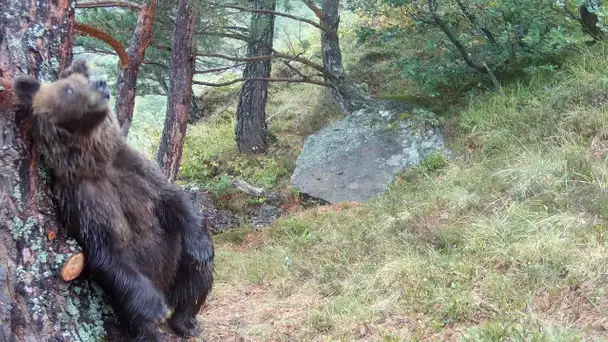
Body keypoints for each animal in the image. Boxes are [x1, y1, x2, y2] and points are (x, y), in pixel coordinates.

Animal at [12, 60, 216, 340]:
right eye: (68, 88)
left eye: (86, 78)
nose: (100, 83)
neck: (96, 162)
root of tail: (166, 287)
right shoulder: (83, 201)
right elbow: (106, 253)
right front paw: (153, 307)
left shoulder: (135, 169)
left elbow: (174, 199)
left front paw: (201, 247)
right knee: (133, 311)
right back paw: (153, 328)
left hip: (177, 264)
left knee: (196, 277)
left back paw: (186, 321)